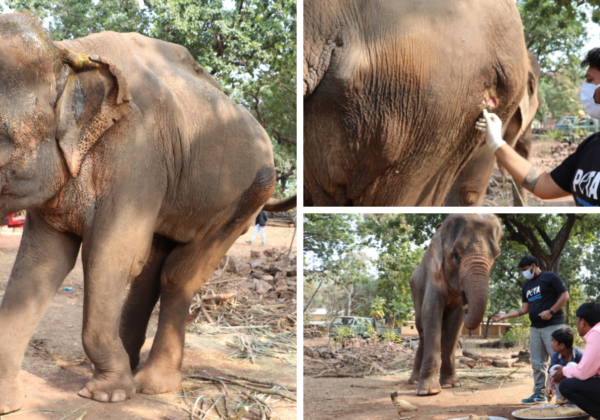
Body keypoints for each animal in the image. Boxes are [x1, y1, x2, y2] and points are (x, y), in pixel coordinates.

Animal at [0, 13, 296, 414]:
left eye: (2, 136)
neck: (69, 50)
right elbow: (41, 262)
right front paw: (8, 404)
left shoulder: (137, 152)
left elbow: (111, 255)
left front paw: (106, 395)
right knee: (149, 273)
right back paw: (130, 365)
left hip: (247, 198)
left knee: (177, 275)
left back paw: (153, 385)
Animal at [408, 215, 502, 396]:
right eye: (455, 255)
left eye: (496, 257)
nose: (466, 304)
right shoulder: (434, 272)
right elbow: (431, 313)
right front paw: (428, 392)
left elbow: (454, 323)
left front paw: (452, 385)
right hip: (415, 289)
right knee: (421, 328)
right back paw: (414, 382)